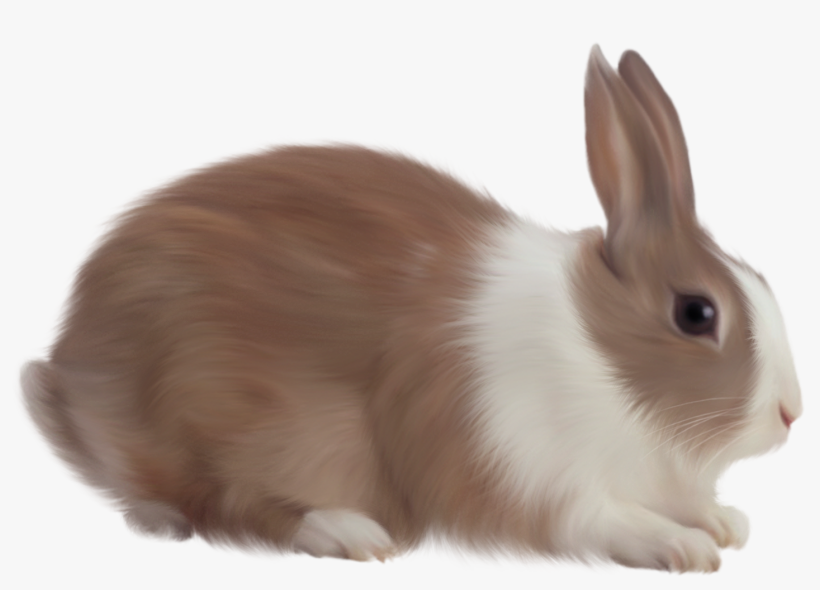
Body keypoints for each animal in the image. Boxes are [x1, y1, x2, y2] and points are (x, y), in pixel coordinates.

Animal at [21, 45, 802, 573]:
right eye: (696, 314)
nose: (790, 414)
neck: (599, 353)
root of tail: (71, 378)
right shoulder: (526, 475)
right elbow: (600, 519)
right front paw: (684, 546)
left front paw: (726, 521)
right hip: (233, 409)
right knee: (228, 505)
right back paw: (346, 533)